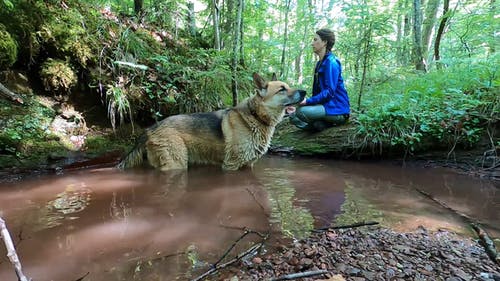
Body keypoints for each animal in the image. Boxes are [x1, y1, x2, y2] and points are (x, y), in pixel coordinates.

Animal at [118, 71, 304, 170]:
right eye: (282, 89)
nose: (304, 92)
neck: (255, 116)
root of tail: (150, 129)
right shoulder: (231, 166)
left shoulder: (247, 165)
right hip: (176, 164)